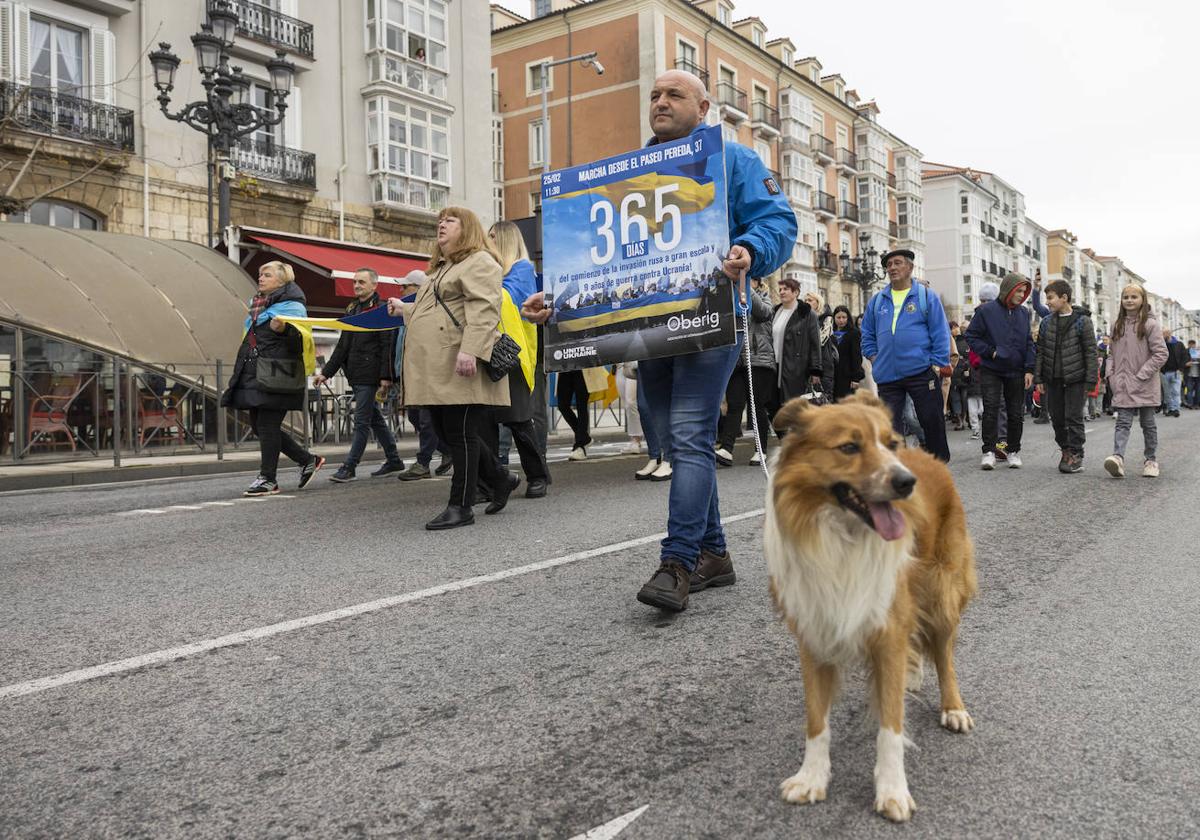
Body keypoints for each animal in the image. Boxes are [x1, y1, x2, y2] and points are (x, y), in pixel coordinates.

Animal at [763, 393, 979, 820]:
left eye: (890, 444)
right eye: (849, 447)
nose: (906, 483)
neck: (843, 537)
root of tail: (927, 456)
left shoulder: (888, 630)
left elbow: (890, 726)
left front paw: (892, 789)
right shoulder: (815, 633)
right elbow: (816, 720)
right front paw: (811, 777)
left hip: (942, 593)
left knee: (944, 655)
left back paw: (953, 707)